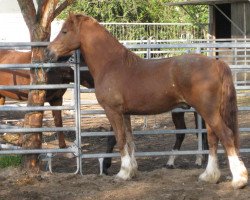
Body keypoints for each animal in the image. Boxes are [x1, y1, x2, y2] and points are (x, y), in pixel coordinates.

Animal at [46, 14, 248, 189]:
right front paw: (132, 171)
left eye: (64, 31)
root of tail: (215, 63)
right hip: (208, 112)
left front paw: (122, 173)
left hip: (208, 111)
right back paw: (209, 176)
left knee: (226, 135)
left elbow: (120, 139)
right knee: (213, 139)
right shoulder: (125, 114)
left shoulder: (113, 111)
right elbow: (129, 140)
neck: (112, 64)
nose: (48, 52)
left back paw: (239, 179)